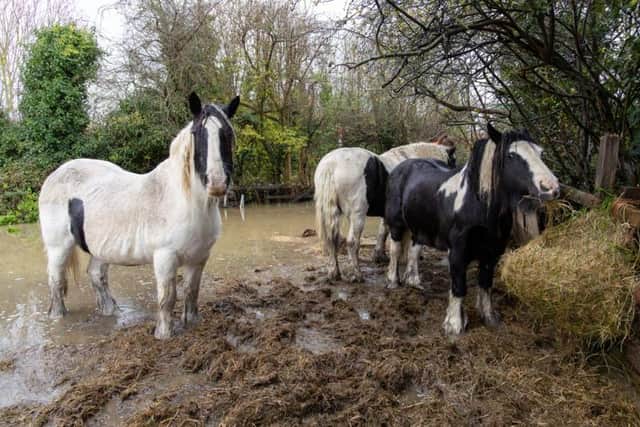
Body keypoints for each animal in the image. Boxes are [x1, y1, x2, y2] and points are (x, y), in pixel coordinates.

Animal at [38, 92, 239, 339]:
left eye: (227, 134)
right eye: (197, 134)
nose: (217, 183)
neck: (188, 202)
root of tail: (56, 174)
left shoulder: (199, 257)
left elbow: (192, 292)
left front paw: (193, 324)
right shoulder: (165, 257)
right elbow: (167, 298)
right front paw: (163, 335)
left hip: (100, 247)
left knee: (96, 274)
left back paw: (111, 310)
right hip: (59, 246)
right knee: (56, 280)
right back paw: (58, 316)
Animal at [314, 141, 456, 282]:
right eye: (453, 161)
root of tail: (331, 165)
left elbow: (383, 232)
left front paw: (380, 256)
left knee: (332, 239)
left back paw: (334, 273)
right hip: (357, 215)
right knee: (352, 242)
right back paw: (357, 274)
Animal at [384, 124, 559, 335]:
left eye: (541, 153)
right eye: (511, 155)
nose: (551, 187)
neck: (478, 204)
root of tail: (402, 167)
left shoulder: (492, 253)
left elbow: (485, 284)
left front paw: (489, 317)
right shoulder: (458, 252)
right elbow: (459, 286)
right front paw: (454, 324)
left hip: (421, 226)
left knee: (413, 251)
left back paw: (414, 282)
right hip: (396, 224)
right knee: (395, 250)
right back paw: (393, 281)